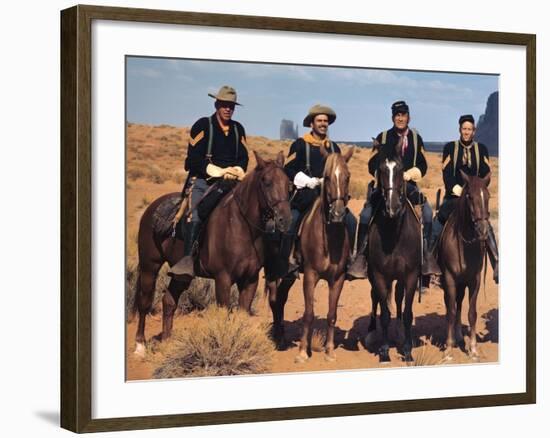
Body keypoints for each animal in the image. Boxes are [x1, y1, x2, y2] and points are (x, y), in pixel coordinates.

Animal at [133, 151, 294, 356]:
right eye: (266, 181)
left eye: (289, 184)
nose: (285, 220)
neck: (241, 226)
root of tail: (151, 208)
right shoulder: (223, 279)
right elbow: (224, 314)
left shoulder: (250, 280)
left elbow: (242, 315)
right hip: (149, 265)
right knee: (144, 301)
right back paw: (140, 345)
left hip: (181, 275)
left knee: (169, 300)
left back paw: (167, 342)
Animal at [270, 147, 356, 362]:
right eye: (327, 177)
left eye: (348, 176)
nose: (338, 214)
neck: (329, 241)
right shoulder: (310, 275)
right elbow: (308, 314)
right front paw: (302, 352)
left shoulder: (338, 278)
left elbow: (332, 315)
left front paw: (330, 351)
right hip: (274, 271)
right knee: (274, 299)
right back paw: (277, 338)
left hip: (289, 277)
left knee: (280, 299)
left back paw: (281, 336)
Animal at [368, 145, 424, 362]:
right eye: (381, 169)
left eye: (400, 169)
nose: (393, 207)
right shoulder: (379, 275)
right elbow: (384, 313)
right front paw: (384, 350)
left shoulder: (411, 275)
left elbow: (408, 313)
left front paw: (407, 350)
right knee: (375, 297)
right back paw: (371, 331)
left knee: (399, 298)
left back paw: (399, 329)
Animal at [438, 169, 494, 362]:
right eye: (469, 196)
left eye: (488, 196)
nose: (483, 231)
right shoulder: (450, 279)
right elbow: (451, 310)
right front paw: (448, 348)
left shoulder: (474, 280)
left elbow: (471, 313)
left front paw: (473, 349)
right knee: (452, 305)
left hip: (462, 284)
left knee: (460, 303)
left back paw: (459, 336)